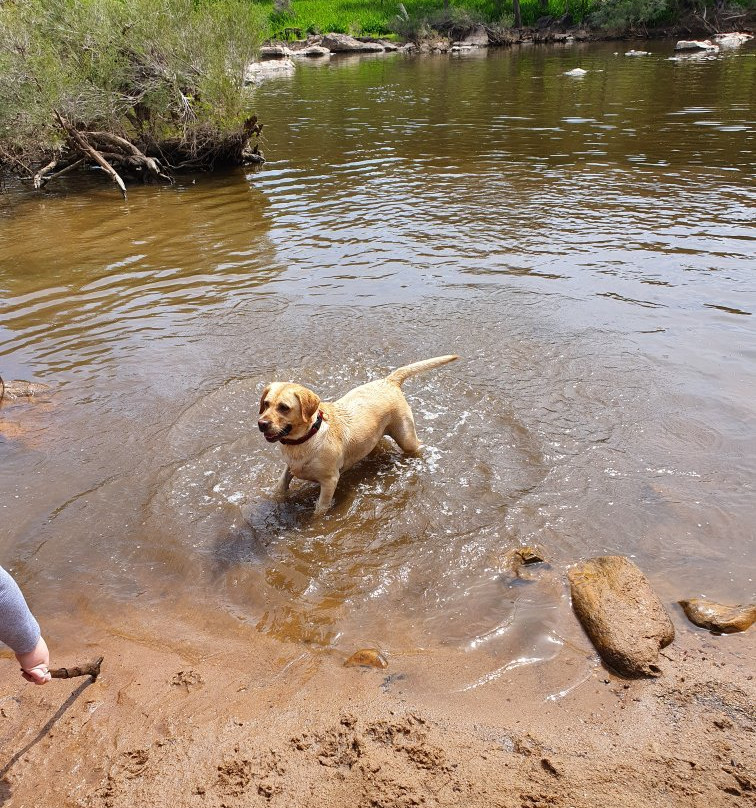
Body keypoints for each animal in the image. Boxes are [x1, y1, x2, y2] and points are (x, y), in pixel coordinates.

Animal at [260, 356, 458, 516]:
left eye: (284, 407)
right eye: (266, 404)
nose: (261, 424)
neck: (306, 438)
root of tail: (389, 381)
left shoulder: (330, 481)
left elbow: (320, 509)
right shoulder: (289, 466)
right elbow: (280, 486)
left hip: (406, 438)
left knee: (417, 445)